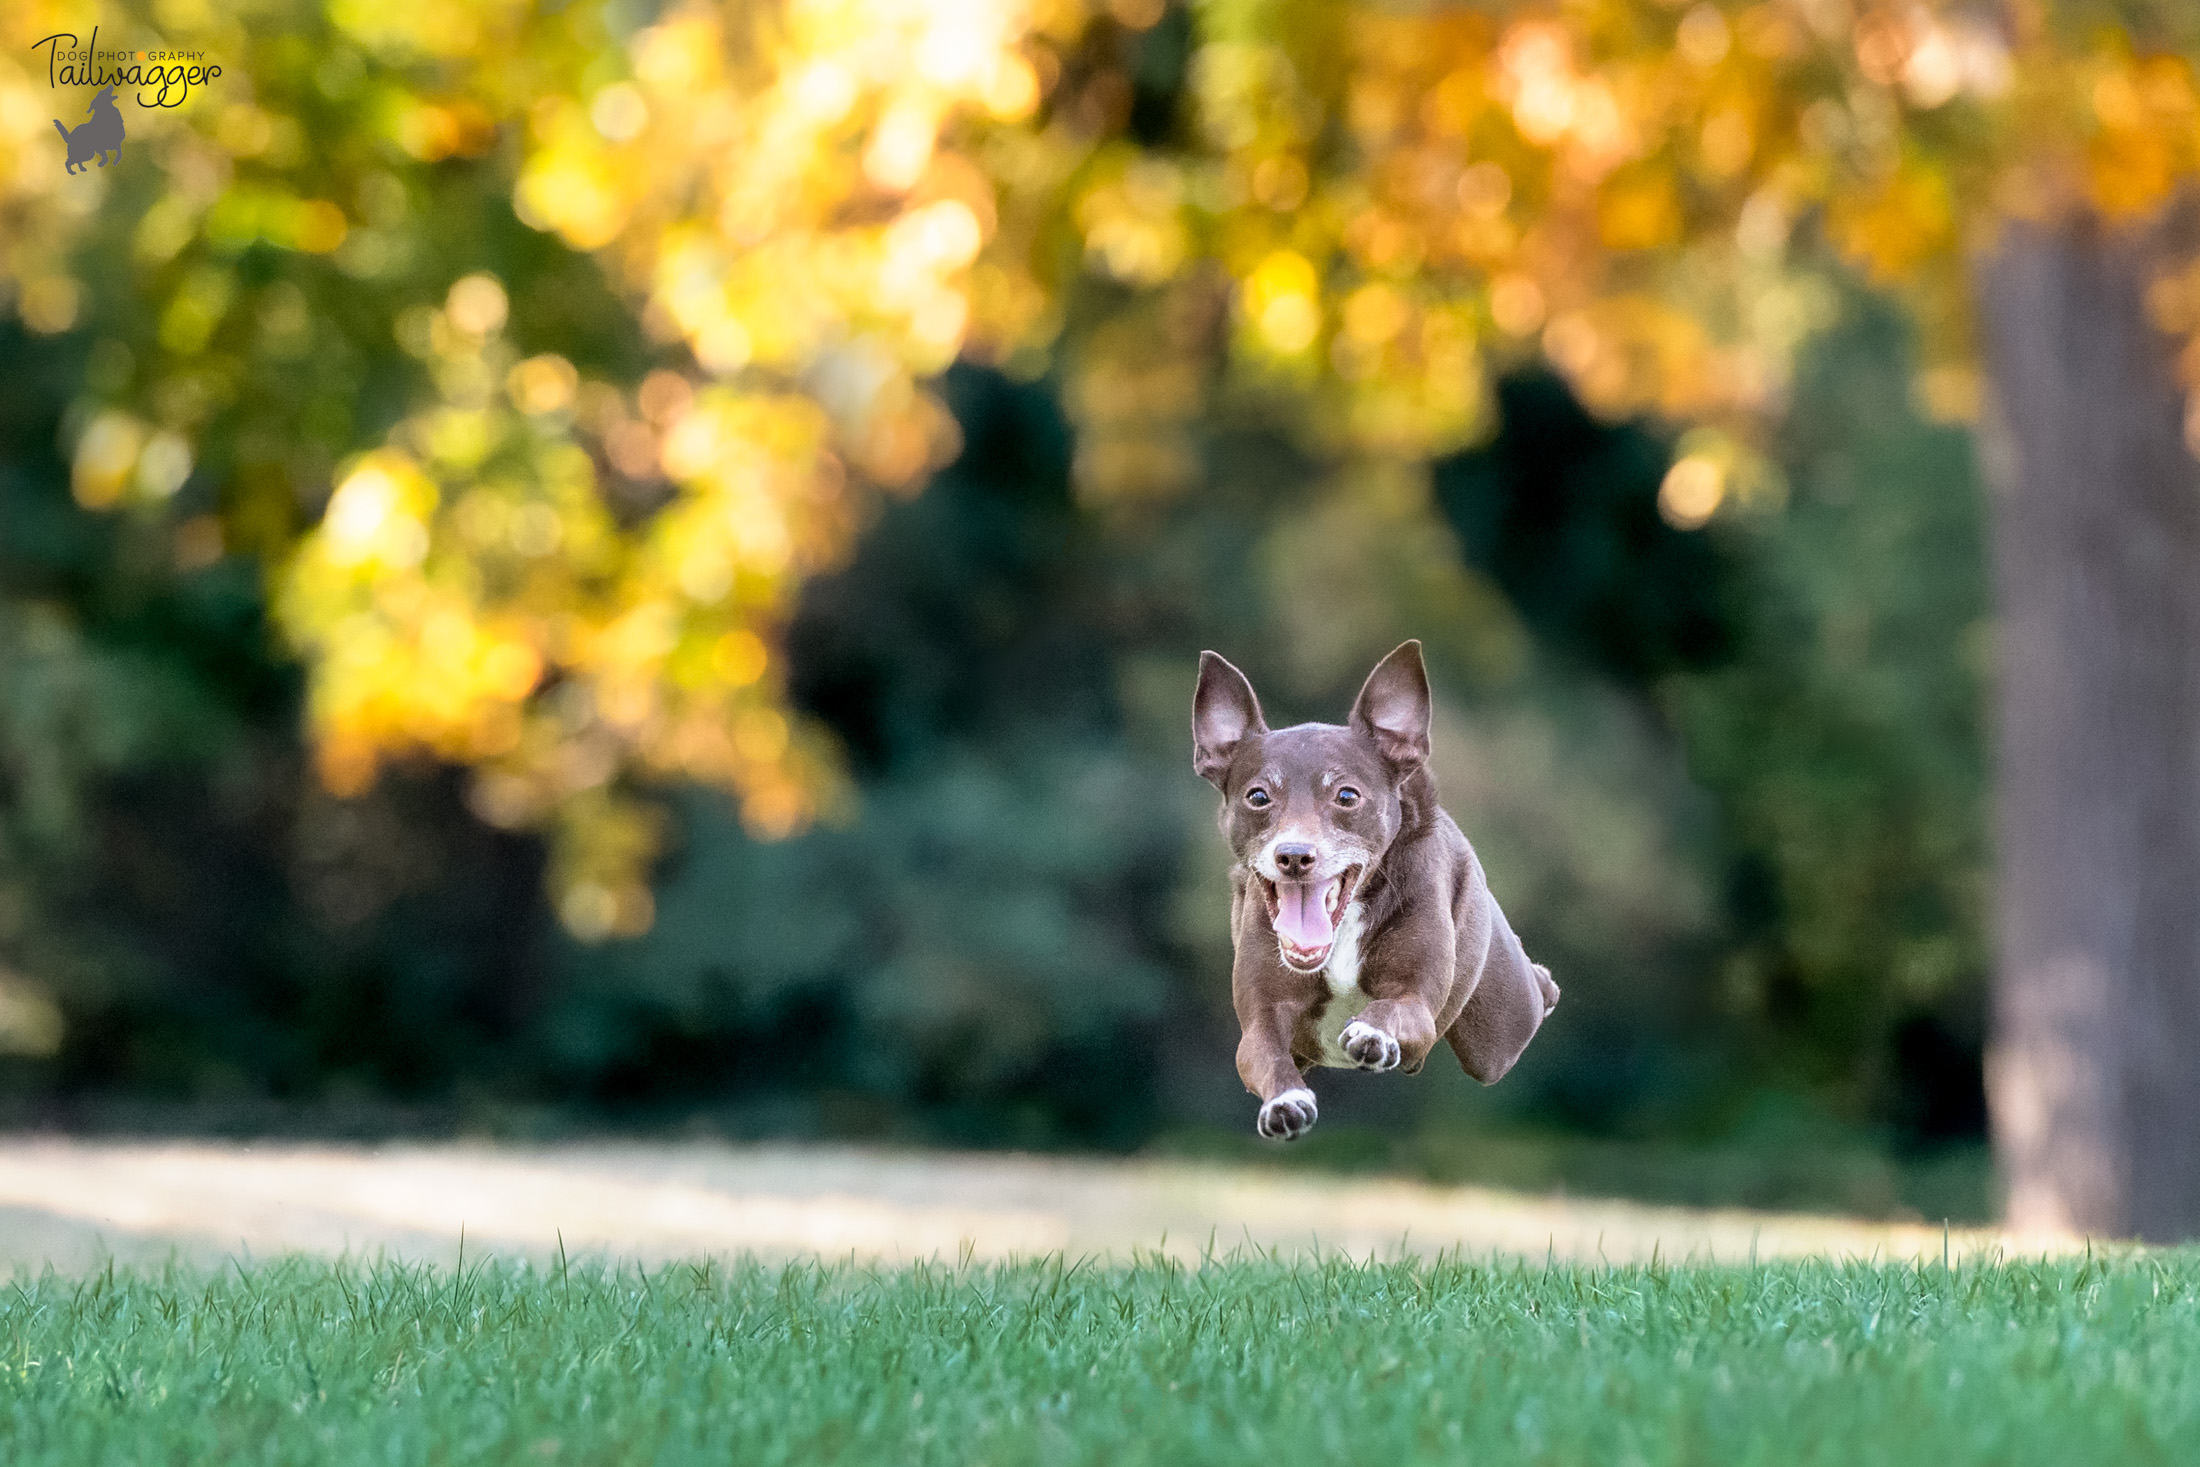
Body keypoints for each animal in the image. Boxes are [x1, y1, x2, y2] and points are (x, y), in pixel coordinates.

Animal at [1196, 637, 1557, 1134]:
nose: (1293, 855)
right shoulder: (1260, 1022)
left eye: (1347, 796)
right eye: (1258, 796)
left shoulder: (1417, 1002)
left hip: (1499, 1028)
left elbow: (1394, 1007)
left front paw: (1371, 1033)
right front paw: (1286, 1102)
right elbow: (1266, 1055)